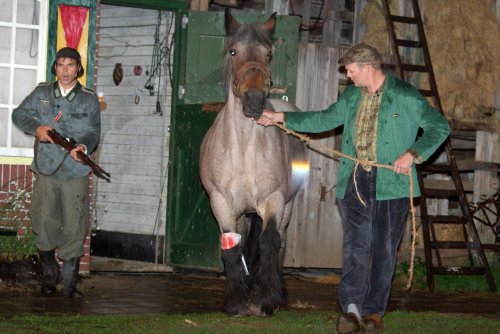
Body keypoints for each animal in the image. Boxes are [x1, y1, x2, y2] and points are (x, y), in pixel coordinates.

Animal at [199, 10, 304, 318]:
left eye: (268, 54)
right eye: (233, 51)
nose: (255, 100)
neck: (244, 148)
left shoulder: (274, 200)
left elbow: (270, 242)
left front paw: (264, 300)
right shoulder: (221, 202)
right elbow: (232, 244)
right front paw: (236, 300)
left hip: (287, 207)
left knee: (279, 240)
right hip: (244, 212)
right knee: (245, 240)